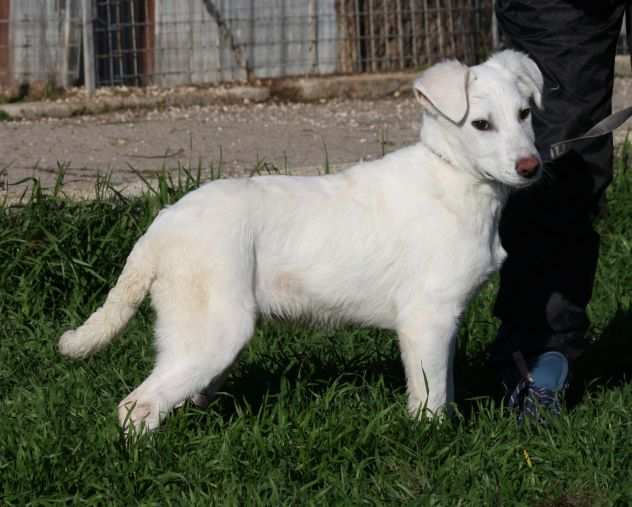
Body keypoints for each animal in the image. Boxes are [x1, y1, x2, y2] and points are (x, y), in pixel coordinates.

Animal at [58, 50, 544, 432]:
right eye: (480, 124)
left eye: (524, 114)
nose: (531, 167)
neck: (454, 178)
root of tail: (162, 225)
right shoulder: (427, 318)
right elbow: (430, 400)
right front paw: (433, 439)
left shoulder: (446, 322)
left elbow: (445, 384)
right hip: (213, 333)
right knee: (137, 406)